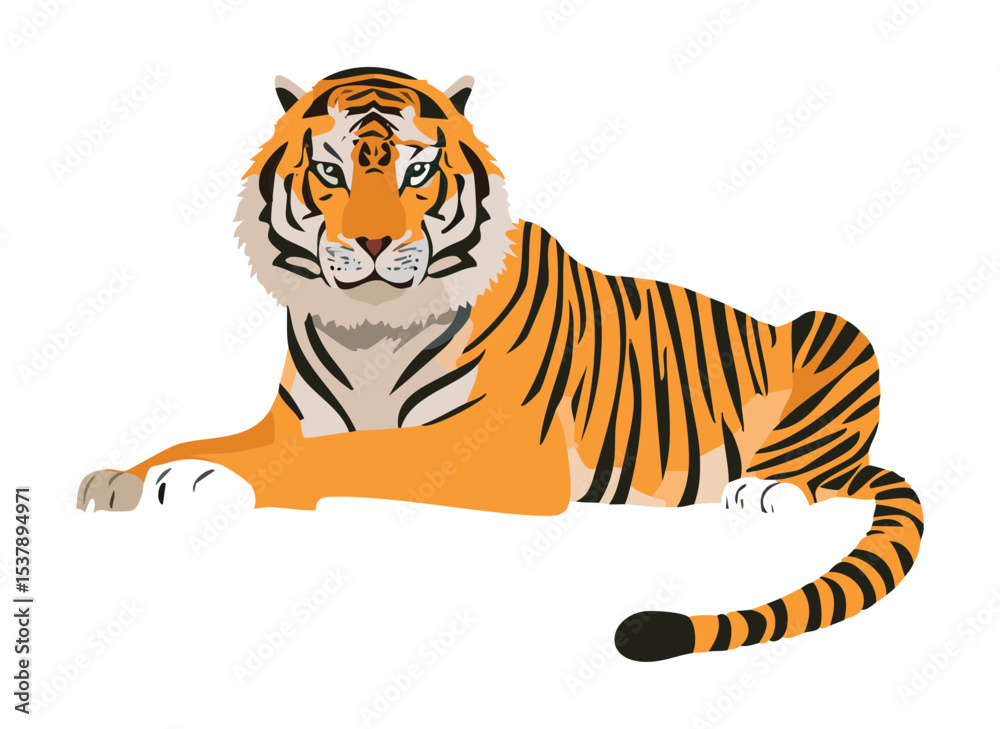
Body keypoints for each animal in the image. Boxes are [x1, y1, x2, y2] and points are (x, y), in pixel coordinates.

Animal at [76, 67, 923, 662]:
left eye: (417, 172)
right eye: (334, 171)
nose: (376, 244)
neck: (366, 332)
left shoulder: (497, 448)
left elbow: (348, 456)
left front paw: (205, 483)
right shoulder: (292, 421)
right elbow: (226, 440)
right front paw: (120, 479)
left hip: (835, 332)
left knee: (824, 472)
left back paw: (768, 487)